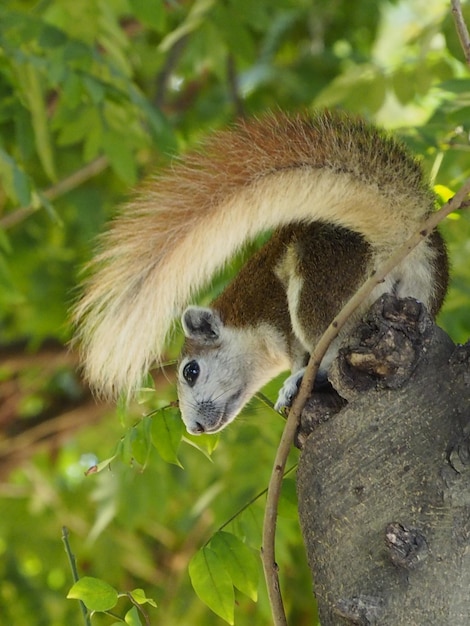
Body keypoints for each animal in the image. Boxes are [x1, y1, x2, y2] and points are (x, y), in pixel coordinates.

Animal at [72, 111, 448, 434]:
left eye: (191, 371)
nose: (194, 428)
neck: (246, 323)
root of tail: (401, 232)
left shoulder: (279, 322)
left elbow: (302, 356)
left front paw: (295, 380)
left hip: (322, 278)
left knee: (333, 342)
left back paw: (301, 381)